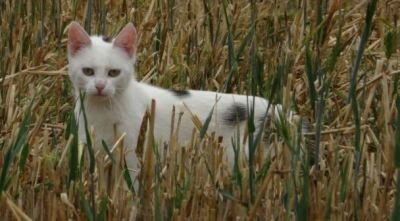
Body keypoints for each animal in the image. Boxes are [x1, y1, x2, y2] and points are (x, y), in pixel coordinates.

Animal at [67, 21, 286, 182]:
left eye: (113, 72)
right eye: (88, 71)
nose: (100, 86)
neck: (101, 111)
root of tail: (278, 111)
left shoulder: (133, 156)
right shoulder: (96, 154)